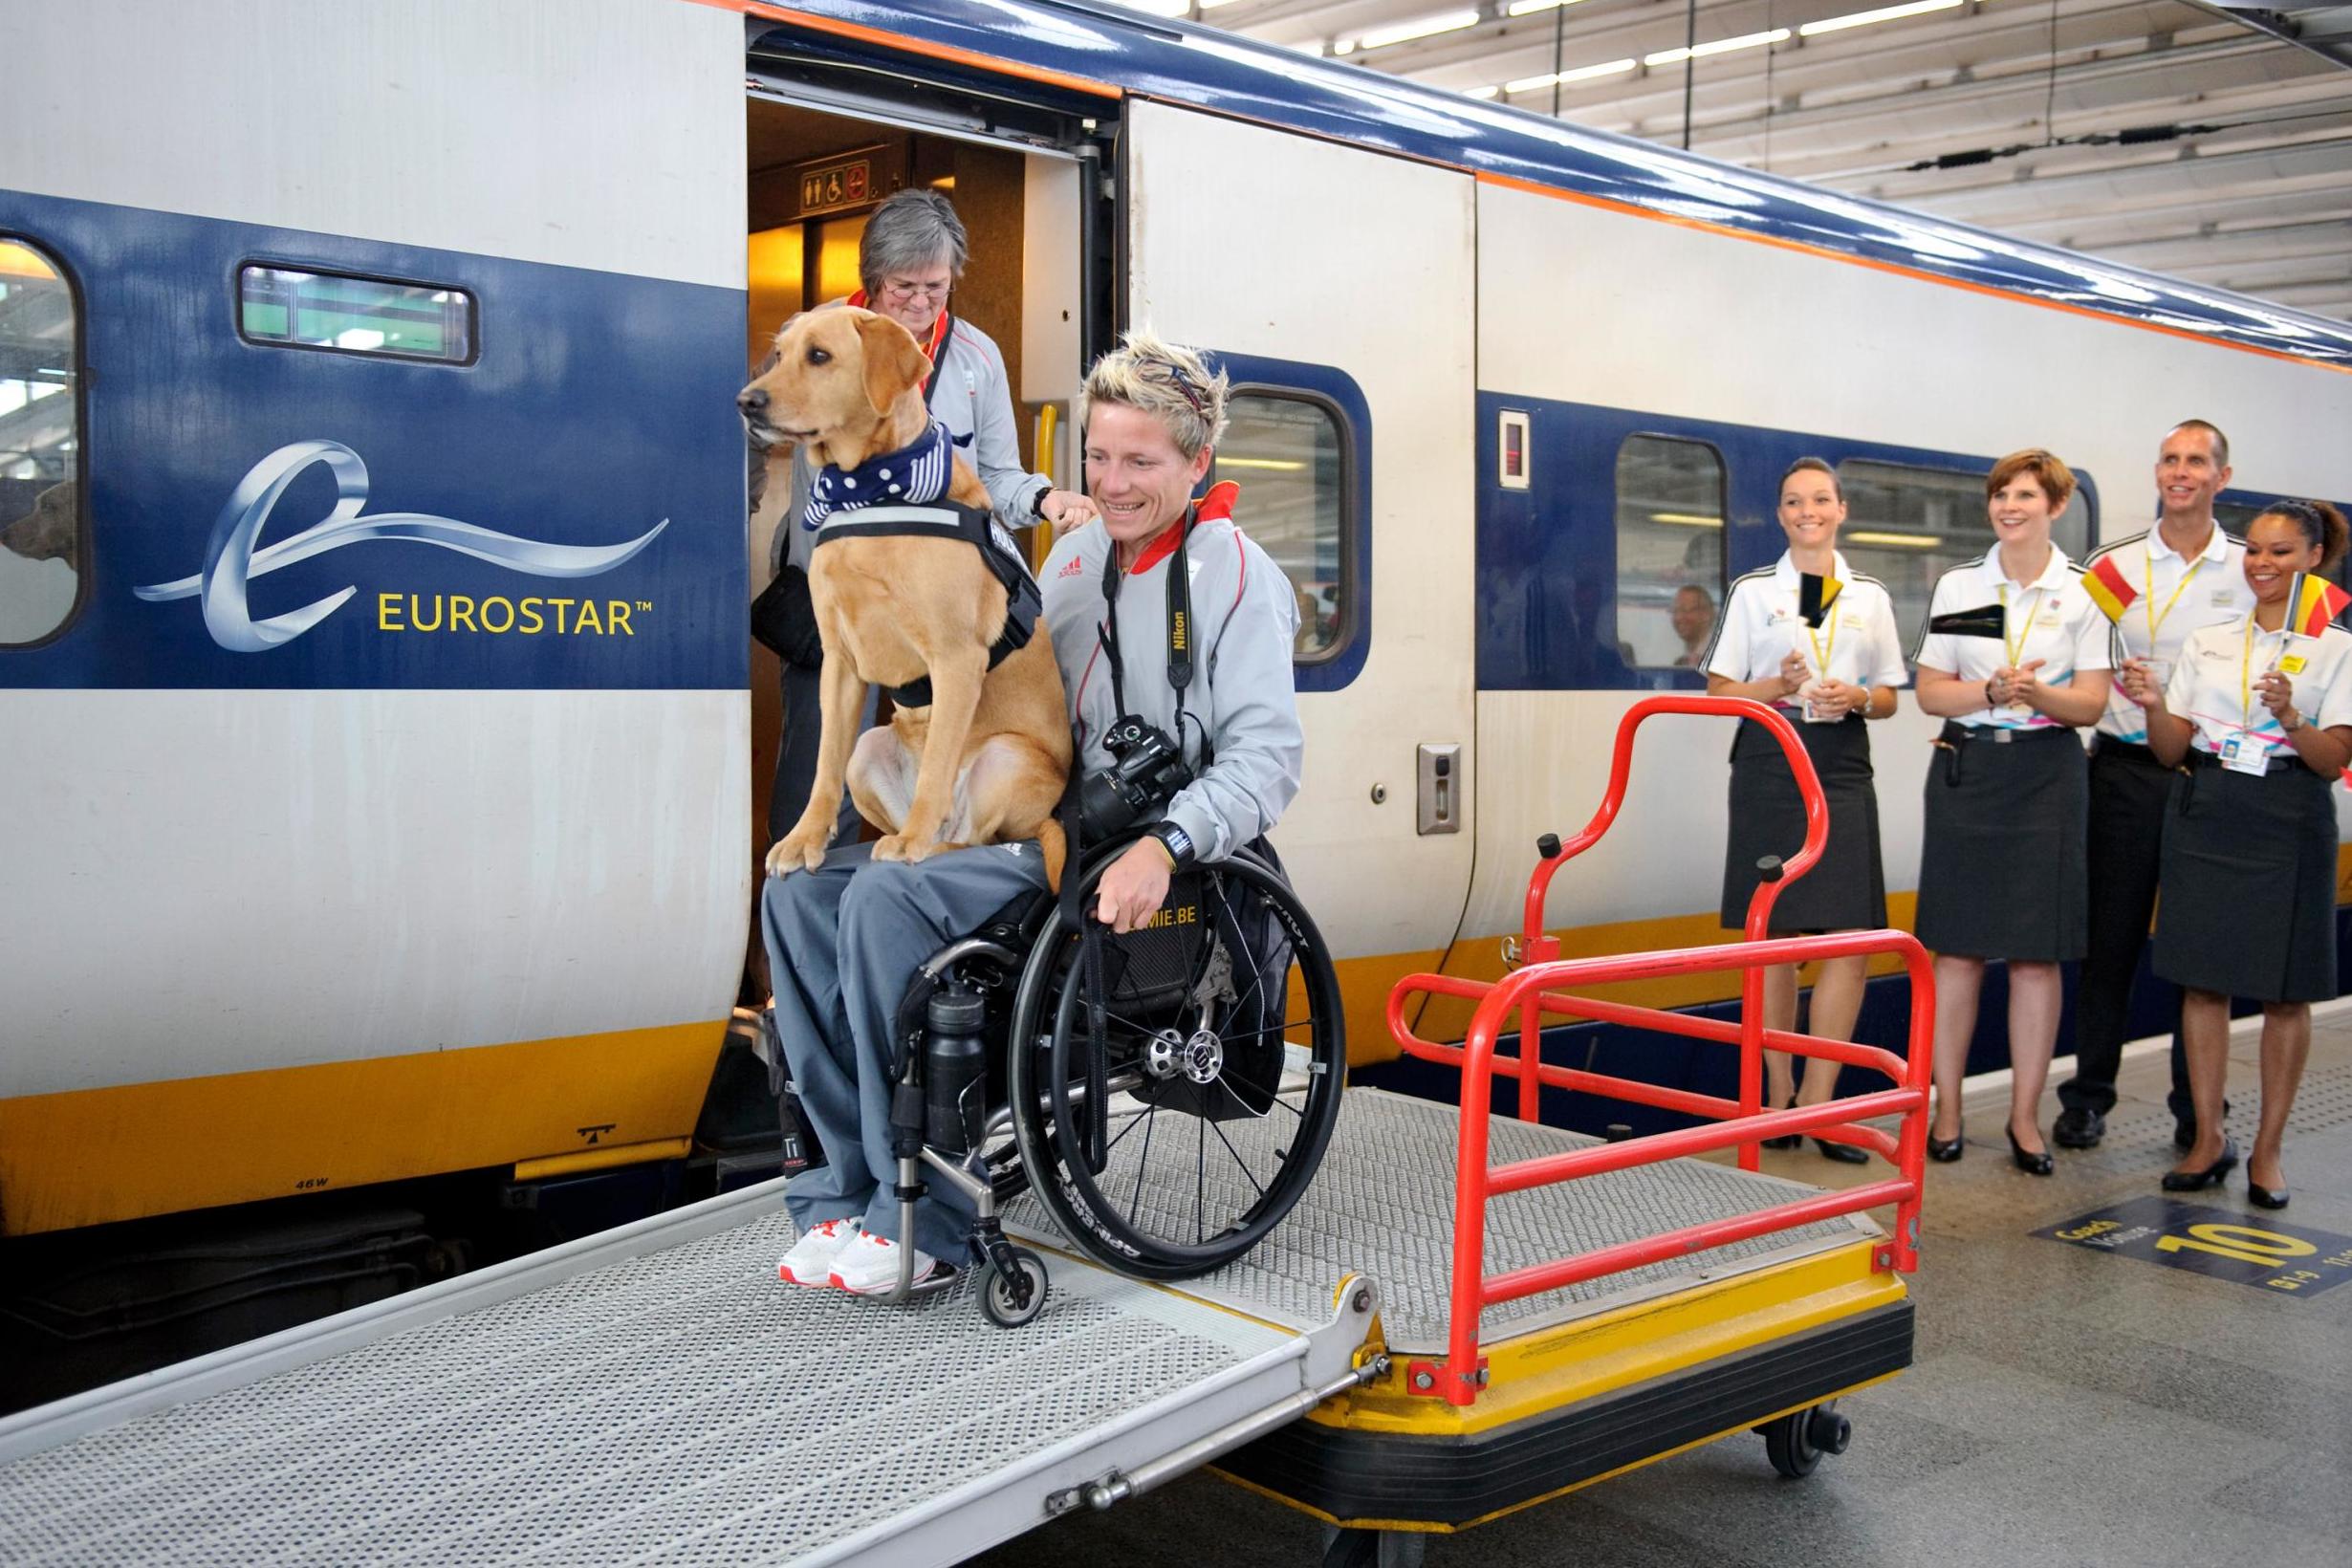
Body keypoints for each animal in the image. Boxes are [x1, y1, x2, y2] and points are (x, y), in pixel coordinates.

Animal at [738, 310, 1072, 888]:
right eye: (779, 355)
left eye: (819, 356)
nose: (745, 401)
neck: (870, 493)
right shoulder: (839, 662)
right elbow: (823, 765)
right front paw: (805, 839)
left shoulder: (957, 659)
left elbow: (938, 763)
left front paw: (912, 838)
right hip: (867, 750)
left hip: (1006, 756)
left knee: (978, 838)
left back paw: (925, 841)